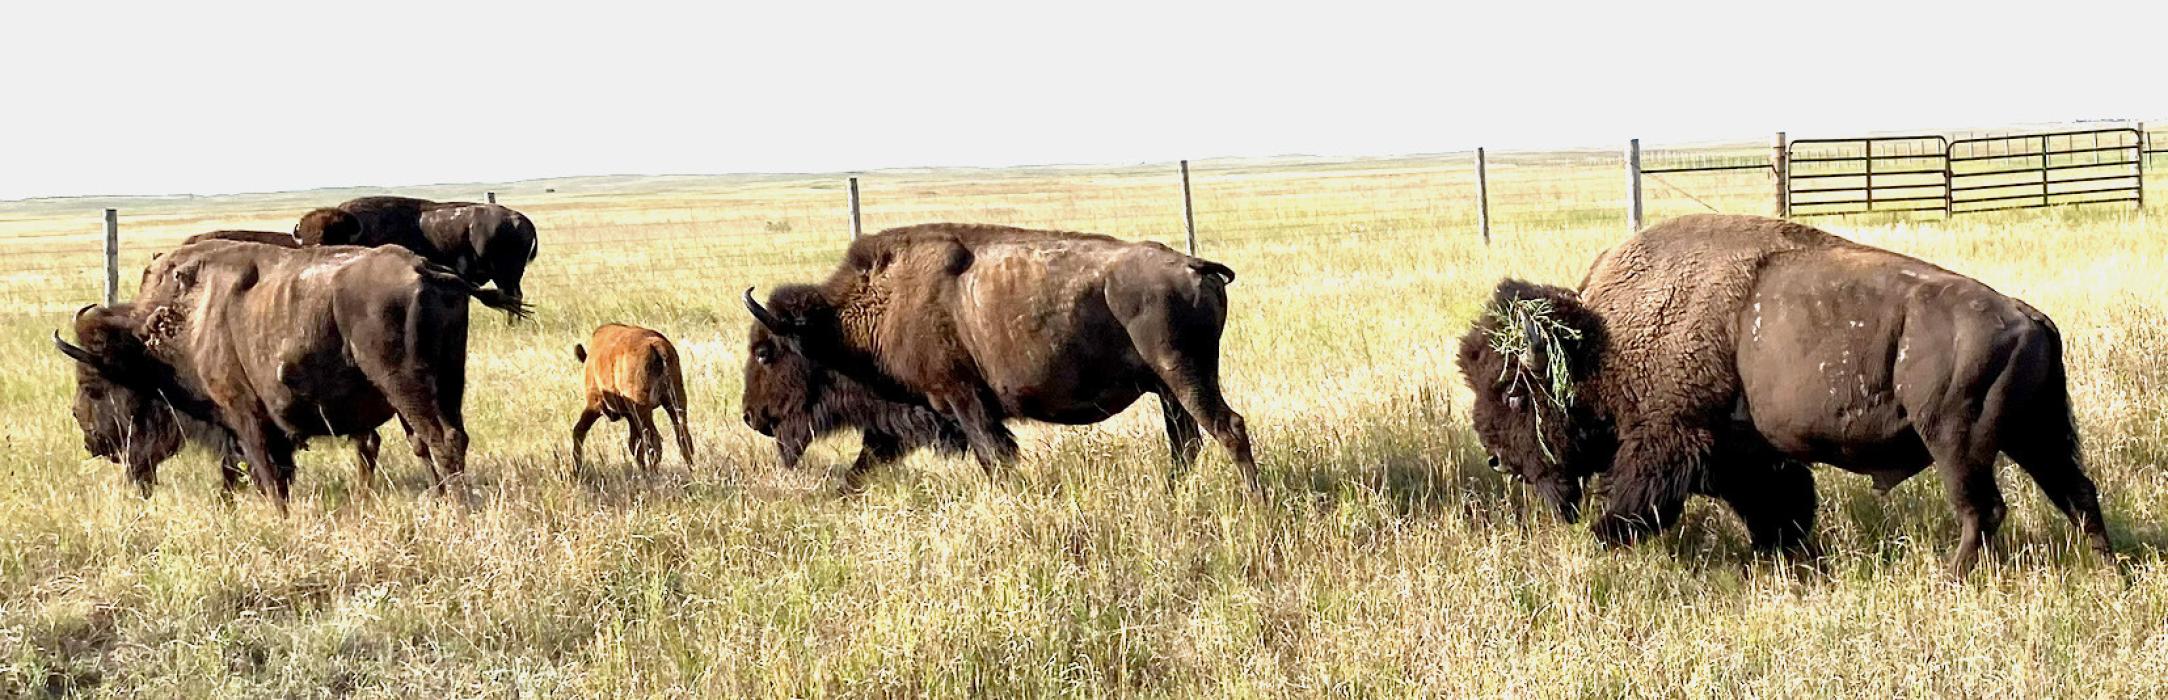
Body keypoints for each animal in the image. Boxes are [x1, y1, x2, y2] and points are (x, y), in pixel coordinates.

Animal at [54, 240, 528, 513]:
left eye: (93, 385)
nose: (90, 439)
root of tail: (429, 270)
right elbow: (243, 467)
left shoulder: (243, 413)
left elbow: (266, 471)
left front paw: (274, 515)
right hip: (446, 384)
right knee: (436, 442)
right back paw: (442, 500)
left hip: (407, 387)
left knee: (440, 440)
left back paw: (459, 510)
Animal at [571, 324, 694, 471]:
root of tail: (656, 345)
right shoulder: (630, 416)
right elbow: (635, 445)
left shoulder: (595, 404)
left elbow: (578, 431)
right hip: (675, 399)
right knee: (683, 437)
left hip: (641, 409)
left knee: (654, 442)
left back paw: (653, 474)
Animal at [1457, 214, 2113, 576]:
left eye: (1513, 393)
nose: (1497, 459)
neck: (1603, 339)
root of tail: (2030, 317)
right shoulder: (1749, 454)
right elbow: (1779, 504)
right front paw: (1786, 556)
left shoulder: (1674, 440)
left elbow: (1640, 497)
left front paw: (1605, 536)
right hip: (2035, 434)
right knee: (2076, 492)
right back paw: (2108, 568)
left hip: (1958, 441)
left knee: (1982, 508)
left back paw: (1951, 578)